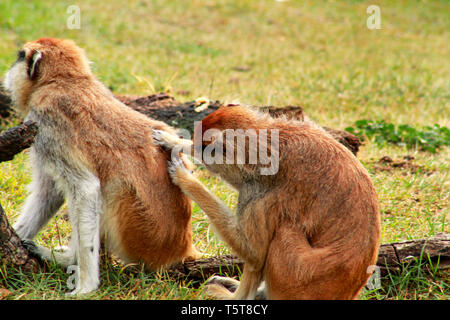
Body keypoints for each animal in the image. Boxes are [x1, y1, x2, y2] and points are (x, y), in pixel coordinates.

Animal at [2, 38, 201, 296]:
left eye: (19, 56)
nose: (8, 73)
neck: (65, 80)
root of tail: (182, 246)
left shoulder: (46, 126)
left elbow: (86, 190)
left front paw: (85, 286)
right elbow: (50, 193)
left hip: (139, 234)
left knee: (109, 190)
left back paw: (68, 259)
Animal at [153, 105, 382, 300]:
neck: (266, 140)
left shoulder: (262, 195)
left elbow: (253, 251)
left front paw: (185, 178)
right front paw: (174, 142)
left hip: (293, 280)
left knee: (281, 231)